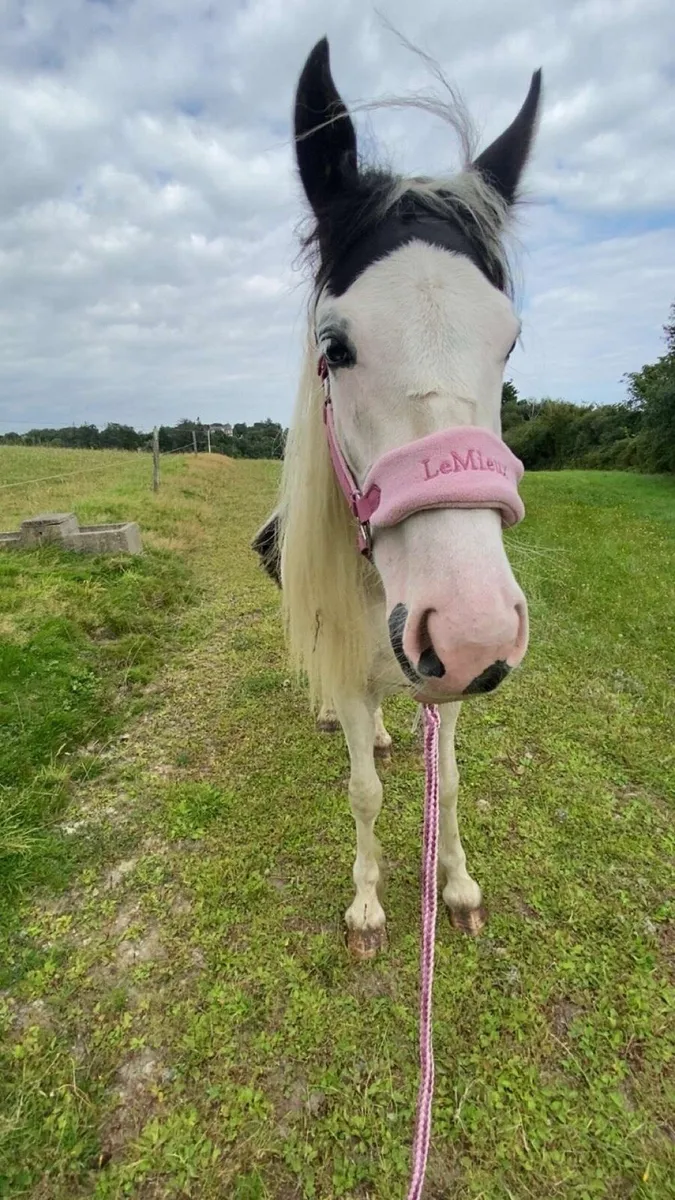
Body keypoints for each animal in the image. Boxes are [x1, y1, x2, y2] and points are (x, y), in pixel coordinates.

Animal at [253, 37, 541, 960]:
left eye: (509, 341)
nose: (472, 627)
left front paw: (456, 886)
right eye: (333, 346)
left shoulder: (446, 693)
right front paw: (369, 907)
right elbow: (365, 794)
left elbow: (445, 781)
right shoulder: (350, 670)